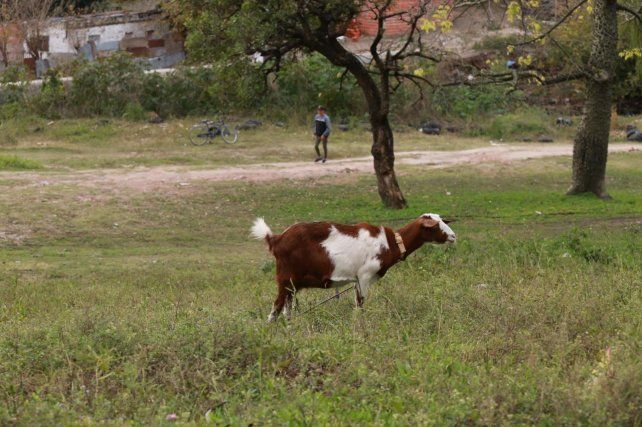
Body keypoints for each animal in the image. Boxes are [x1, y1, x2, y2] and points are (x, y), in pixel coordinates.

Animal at [251, 214, 456, 322]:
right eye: (434, 226)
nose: (453, 236)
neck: (390, 243)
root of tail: (276, 239)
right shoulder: (364, 275)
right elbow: (360, 304)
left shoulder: (357, 279)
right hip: (285, 279)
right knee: (275, 308)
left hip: (292, 285)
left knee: (287, 308)